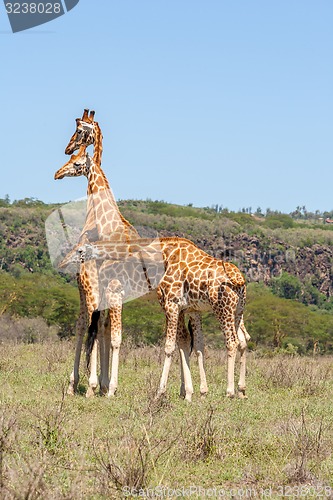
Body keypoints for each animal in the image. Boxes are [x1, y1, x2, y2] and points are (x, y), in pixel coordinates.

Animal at [59, 236, 248, 400]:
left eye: (80, 250)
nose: (63, 263)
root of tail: (240, 281)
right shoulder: (184, 308)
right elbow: (187, 343)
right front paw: (190, 392)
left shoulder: (170, 303)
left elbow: (169, 346)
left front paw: (160, 391)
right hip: (237, 312)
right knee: (243, 340)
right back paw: (240, 390)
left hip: (223, 309)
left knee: (232, 342)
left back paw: (230, 391)